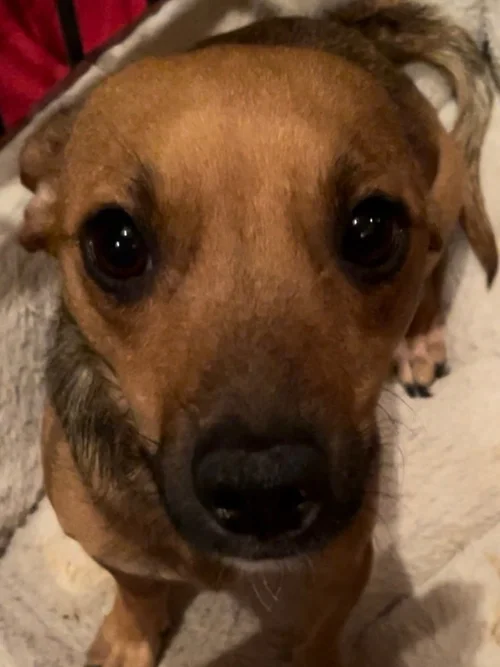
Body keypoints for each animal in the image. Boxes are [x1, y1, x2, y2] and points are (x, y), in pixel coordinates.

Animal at [17, 2, 497, 666]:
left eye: (372, 229)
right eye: (115, 243)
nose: (262, 489)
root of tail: (352, 28)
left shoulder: (344, 567)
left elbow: (319, 637)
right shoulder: (106, 543)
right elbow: (137, 589)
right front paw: (129, 638)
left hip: (446, 186)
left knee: (434, 260)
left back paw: (421, 338)